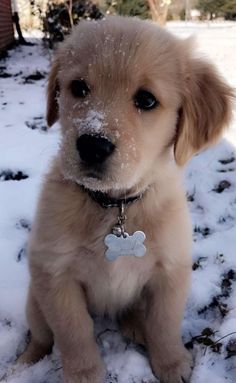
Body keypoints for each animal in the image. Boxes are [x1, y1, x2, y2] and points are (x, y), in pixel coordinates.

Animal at [18, 15, 232, 383]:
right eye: (78, 88)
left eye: (146, 100)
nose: (92, 146)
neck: (115, 206)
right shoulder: (54, 273)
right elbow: (74, 332)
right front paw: (85, 374)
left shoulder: (170, 271)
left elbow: (164, 324)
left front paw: (171, 364)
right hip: (34, 299)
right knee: (42, 335)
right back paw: (25, 361)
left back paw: (135, 326)